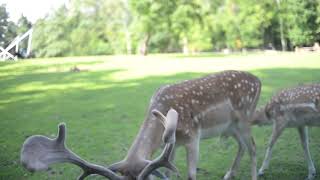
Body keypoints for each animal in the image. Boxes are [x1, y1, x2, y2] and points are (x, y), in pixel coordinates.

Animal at [20, 70, 262, 180]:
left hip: (245, 118)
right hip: (231, 127)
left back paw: (254, 175)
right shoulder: (174, 144)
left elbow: (191, 174)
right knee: (242, 146)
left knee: (252, 146)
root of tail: (258, 80)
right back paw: (229, 175)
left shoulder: (193, 136)